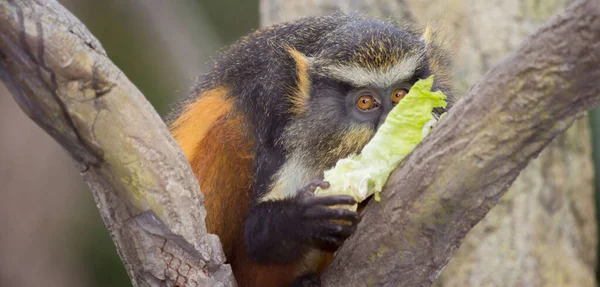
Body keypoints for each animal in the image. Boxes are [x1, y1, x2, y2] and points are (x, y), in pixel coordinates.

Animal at [168, 12, 450, 287]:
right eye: (365, 102)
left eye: (400, 96)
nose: (389, 125)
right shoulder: (278, 120)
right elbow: (256, 236)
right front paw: (302, 220)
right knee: (229, 128)